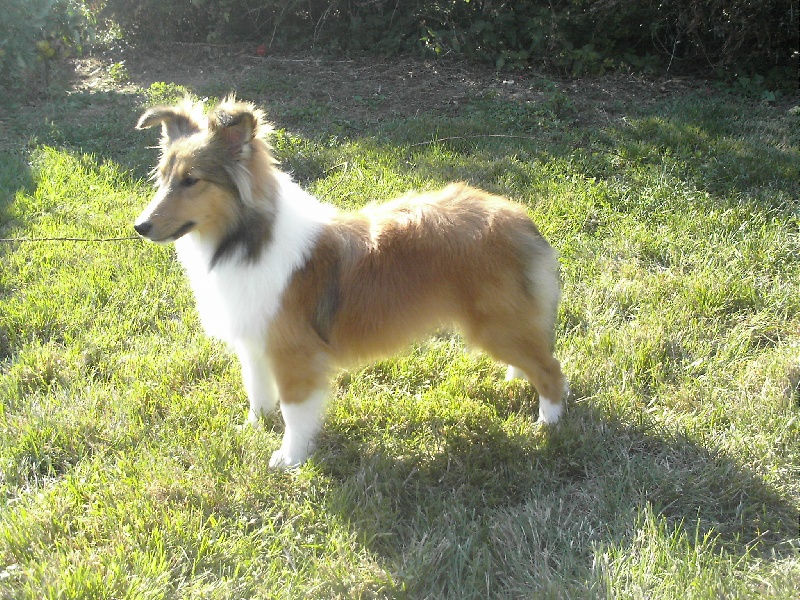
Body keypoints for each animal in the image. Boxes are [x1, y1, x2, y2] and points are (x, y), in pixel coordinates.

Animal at [133, 97, 568, 468]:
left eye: (191, 180)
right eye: (163, 177)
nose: (140, 226)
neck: (246, 238)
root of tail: (520, 219)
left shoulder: (293, 353)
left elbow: (293, 409)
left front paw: (289, 458)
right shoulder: (254, 343)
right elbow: (258, 393)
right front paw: (251, 430)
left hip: (496, 326)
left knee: (552, 369)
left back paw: (548, 424)